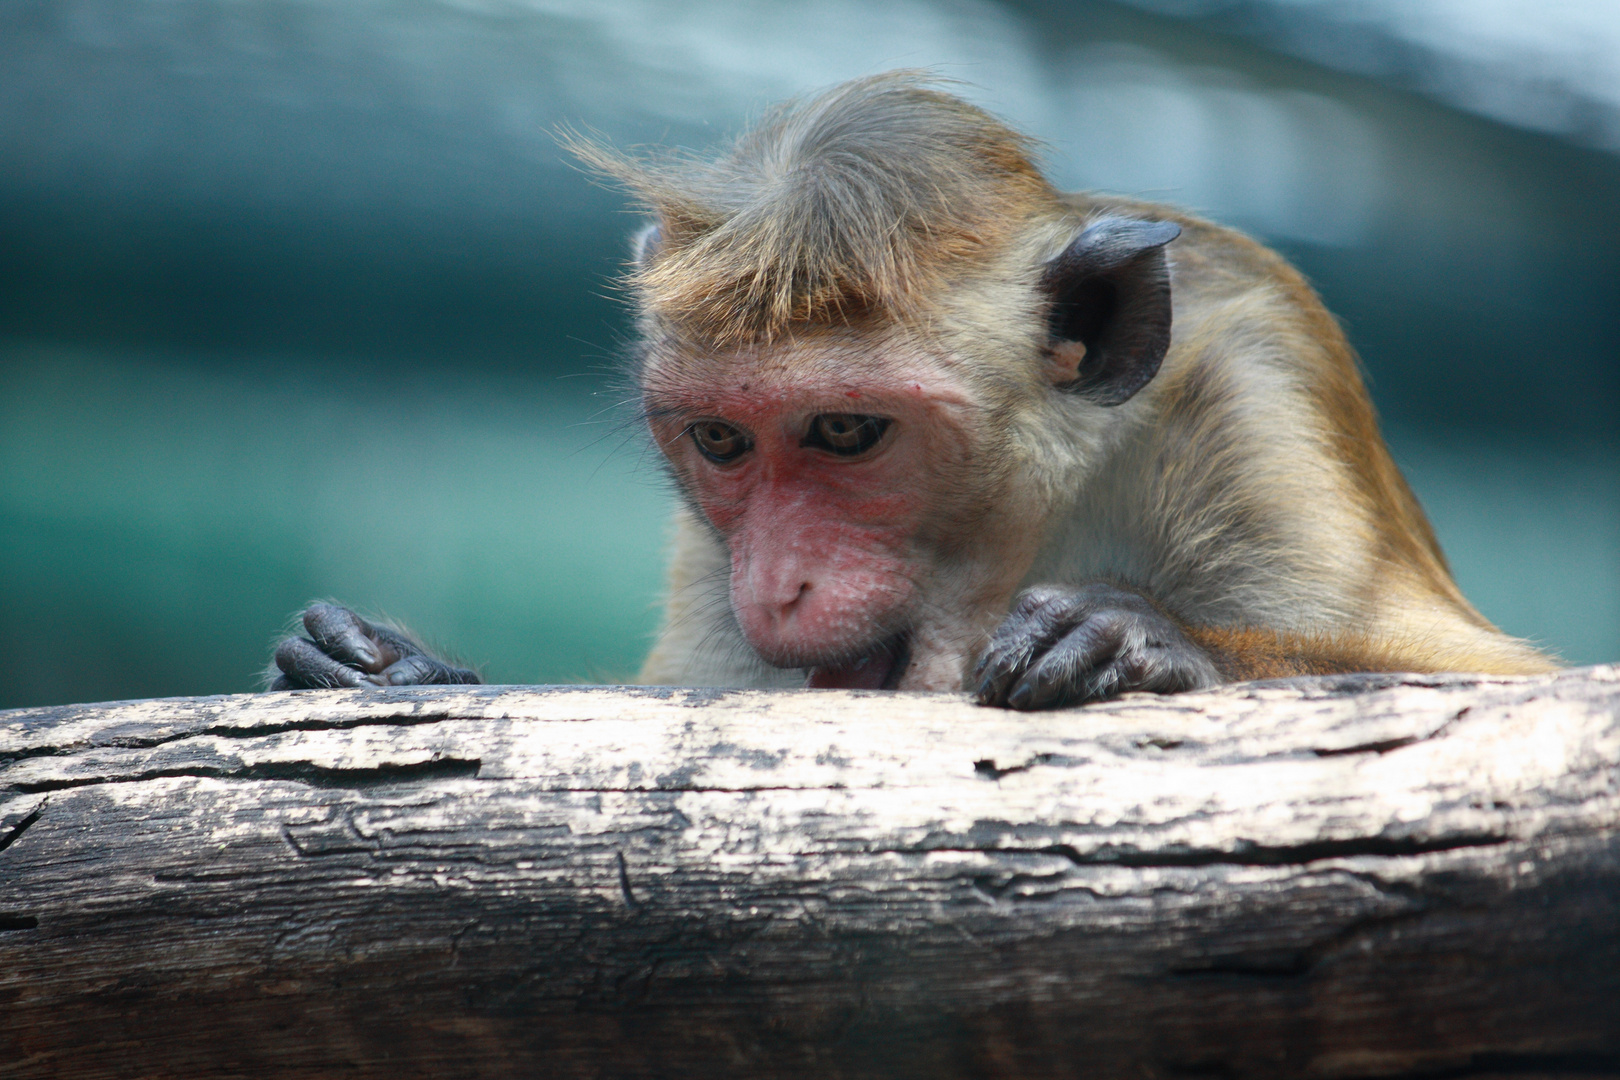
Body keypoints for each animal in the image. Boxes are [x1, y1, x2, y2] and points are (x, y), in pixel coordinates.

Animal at [265, 71, 1555, 705]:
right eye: (723, 443)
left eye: (847, 431)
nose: (775, 583)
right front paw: (389, 668)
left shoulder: (1255, 401)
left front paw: (1144, 637)